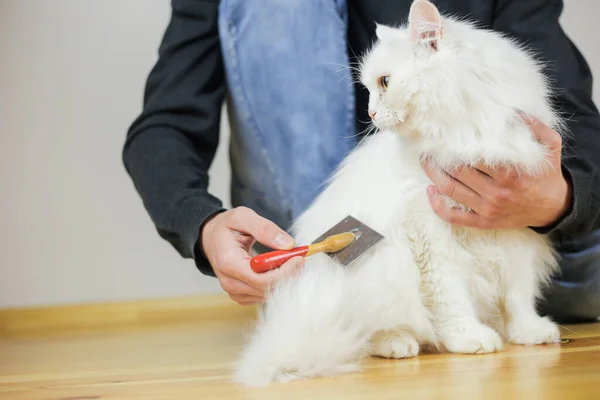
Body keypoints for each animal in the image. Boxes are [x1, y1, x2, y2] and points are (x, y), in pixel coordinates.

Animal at [234, 0, 564, 388]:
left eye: (385, 83)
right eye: (371, 88)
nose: (370, 113)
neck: (464, 129)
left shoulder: (514, 221)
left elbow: (518, 295)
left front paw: (529, 332)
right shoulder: (429, 232)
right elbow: (450, 297)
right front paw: (469, 337)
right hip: (380, 264)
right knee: (367, 330)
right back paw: (399, 344)